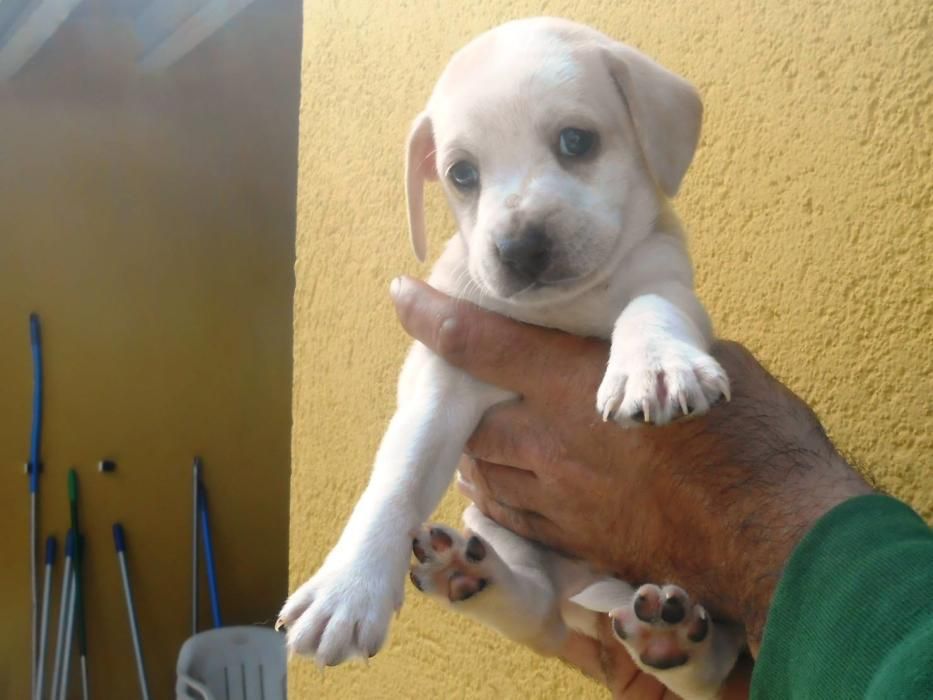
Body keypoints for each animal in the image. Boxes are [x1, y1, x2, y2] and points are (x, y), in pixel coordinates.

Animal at [276, 17, 744, 700]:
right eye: (462, 175)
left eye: (576, 141)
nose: (520, 248)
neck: (563, 308)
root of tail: (588, 595)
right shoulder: (441, 380)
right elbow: (398, 476)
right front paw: (348, 587)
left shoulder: (670, 282)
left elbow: (650, 305)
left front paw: (654, 365)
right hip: (502, 531)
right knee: (533, 608)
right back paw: (473, 578)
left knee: (710, 670)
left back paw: (676, 639)